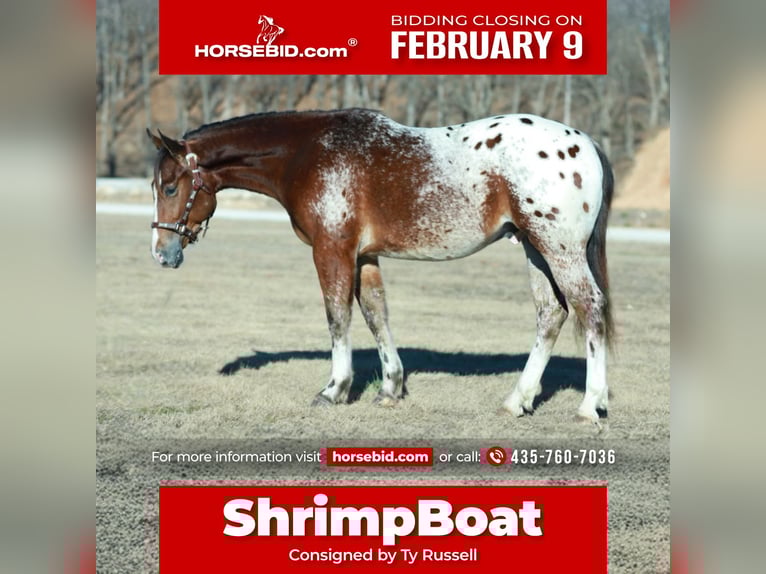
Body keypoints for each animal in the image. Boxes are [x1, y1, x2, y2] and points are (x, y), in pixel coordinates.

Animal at [148, 108, 614, 425]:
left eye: (170, 187)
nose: (161, 253)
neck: (306, 155)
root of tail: (585, 143)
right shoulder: (364, 256)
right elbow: (377, 316)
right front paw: (390, 387)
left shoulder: (332, 250)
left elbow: (338, 317)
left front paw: (334, 389)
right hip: (534, 248)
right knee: (551, 314)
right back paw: (517, 400)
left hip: (559, 249)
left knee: (590, 308)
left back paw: (590, 404)